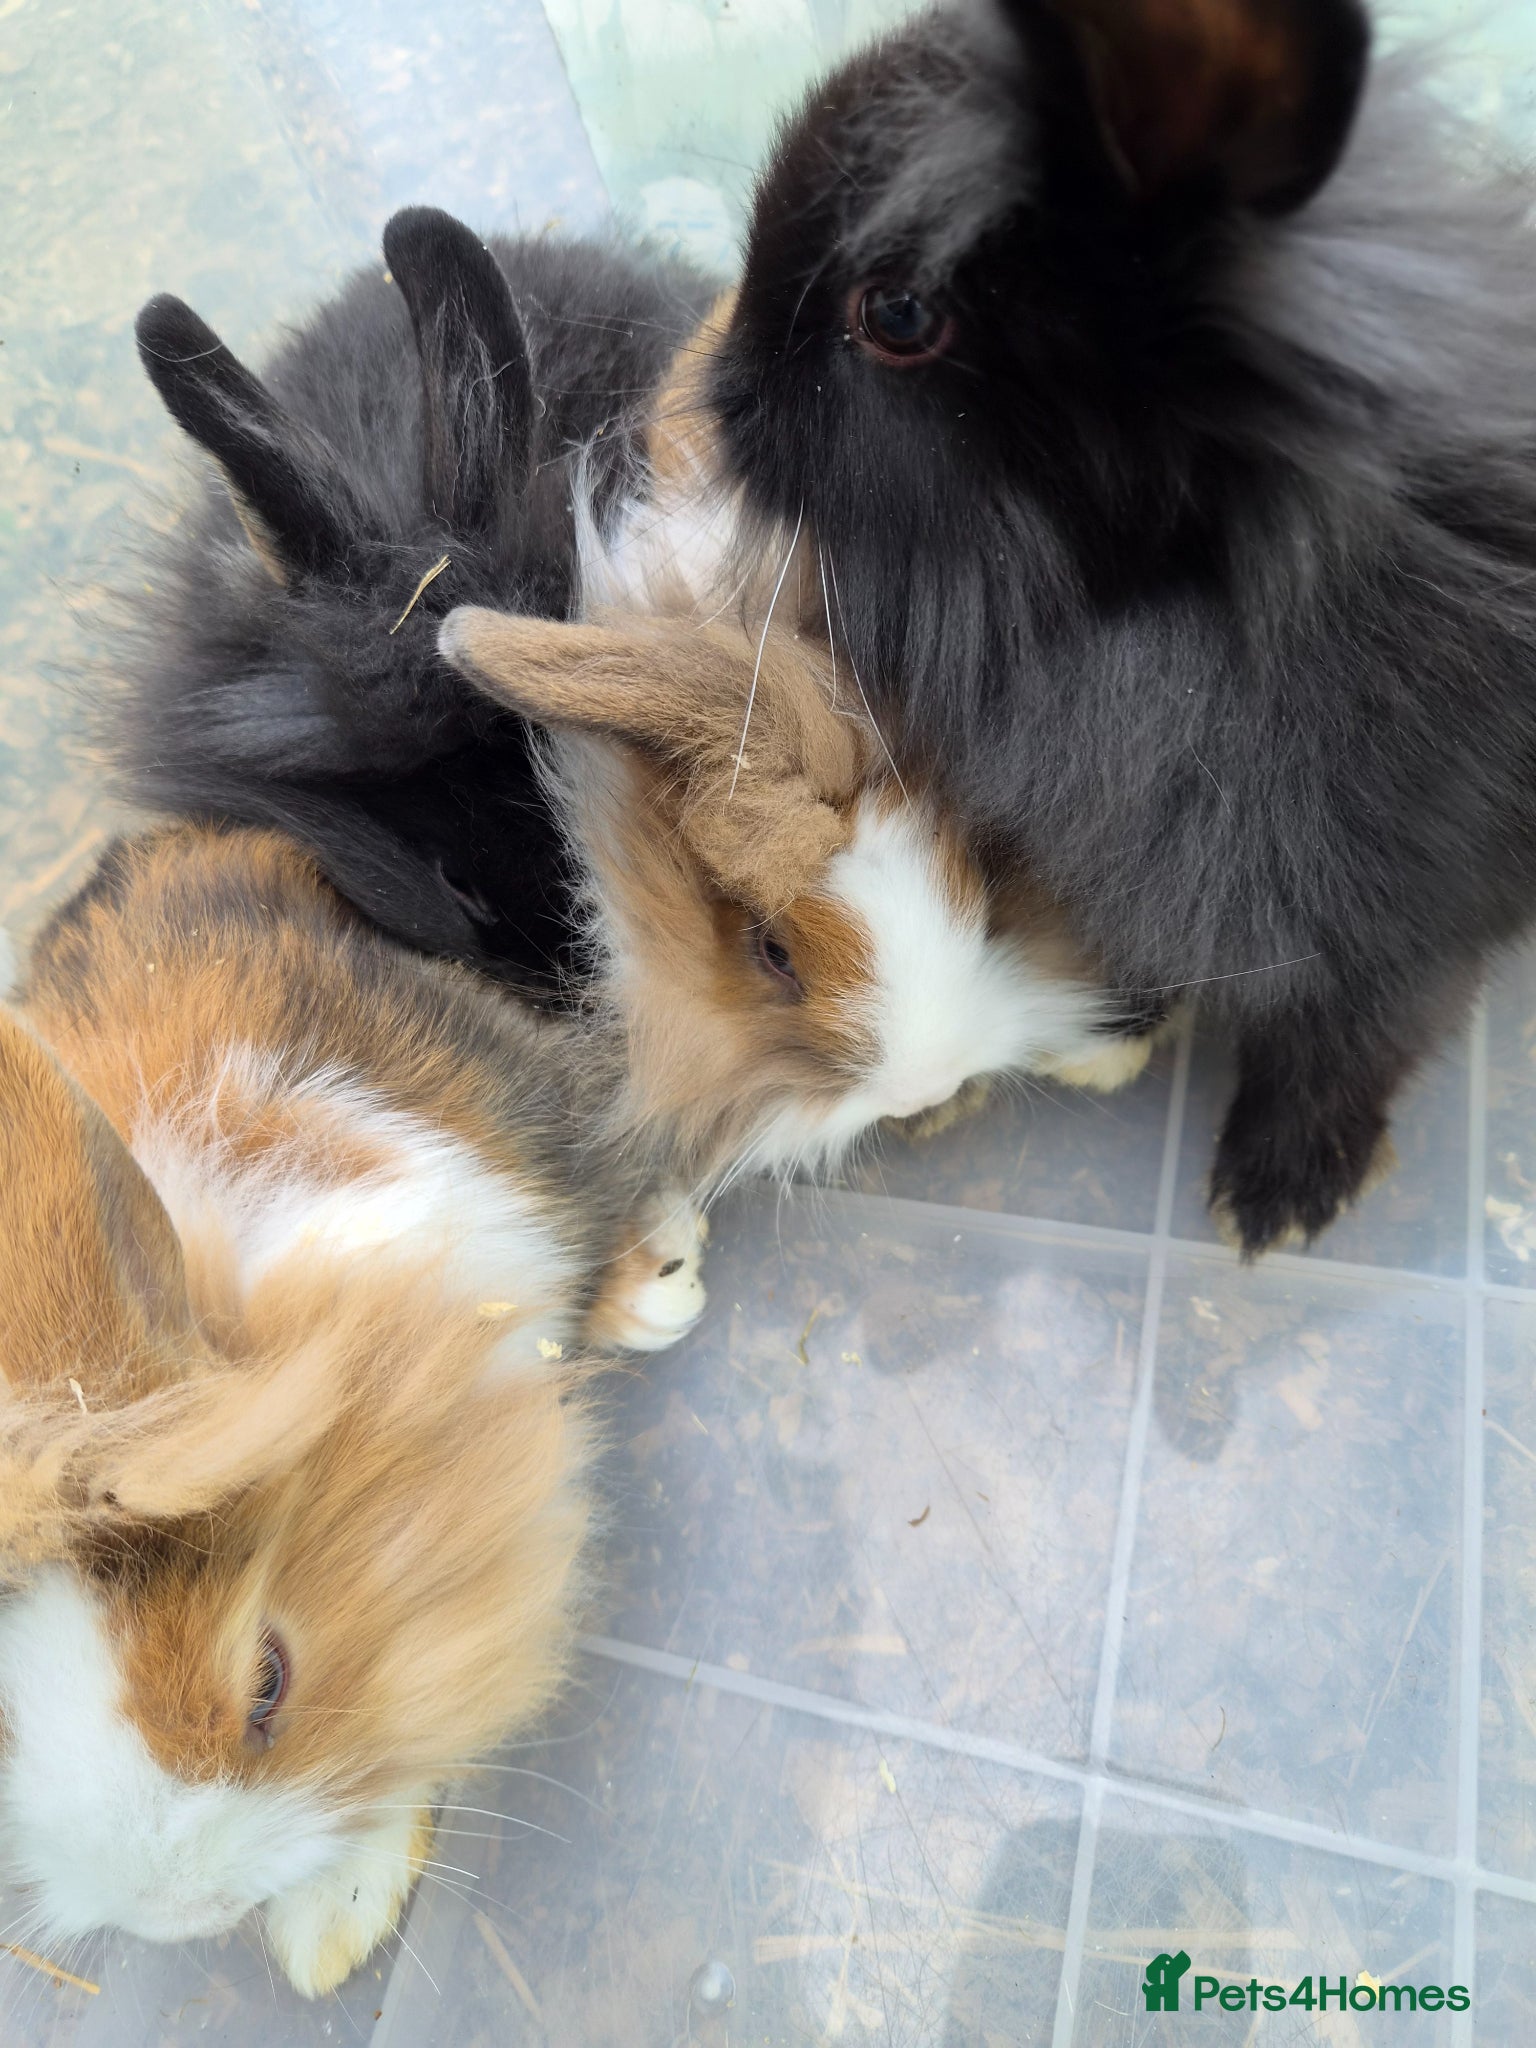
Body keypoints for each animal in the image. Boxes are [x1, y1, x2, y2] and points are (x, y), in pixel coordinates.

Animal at [692, 0, 1536, 1254]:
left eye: (897, 313)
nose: (720, 393)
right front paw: (1106, 1029)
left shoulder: (1396, 936)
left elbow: (1343, 1051)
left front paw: (1275, 1198)